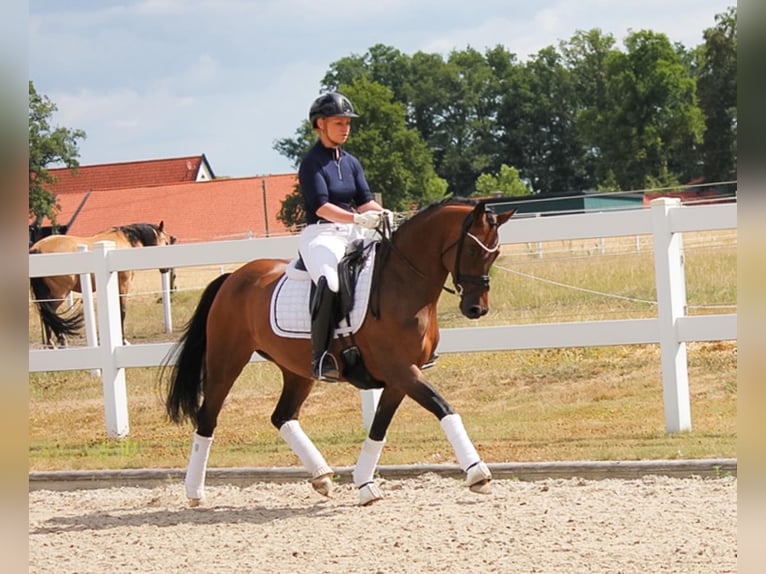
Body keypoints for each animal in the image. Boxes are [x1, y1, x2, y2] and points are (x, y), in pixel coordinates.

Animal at [29, 220, 172, 346]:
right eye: (165, 241)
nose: (166, 269)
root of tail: (37, 248)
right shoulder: (123, 285)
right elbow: (122, 311)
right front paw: (123, 340)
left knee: (45, 315)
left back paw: (51, 343)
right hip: (59, 294)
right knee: (49, 314)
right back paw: (58, 341)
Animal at [164, 199, 516, 508]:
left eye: (496, 253)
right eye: (474, 249)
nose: (476, 309)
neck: (404, 284)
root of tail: (233, 277)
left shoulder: (400, 377)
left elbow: (379, 428)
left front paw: (365, 484)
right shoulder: (402, 370)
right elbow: (444, 407)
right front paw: (478, 474)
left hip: (298, 370)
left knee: (282, 416)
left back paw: (322, 477)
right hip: (227, 361)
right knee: (208, 417)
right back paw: (194, 493)